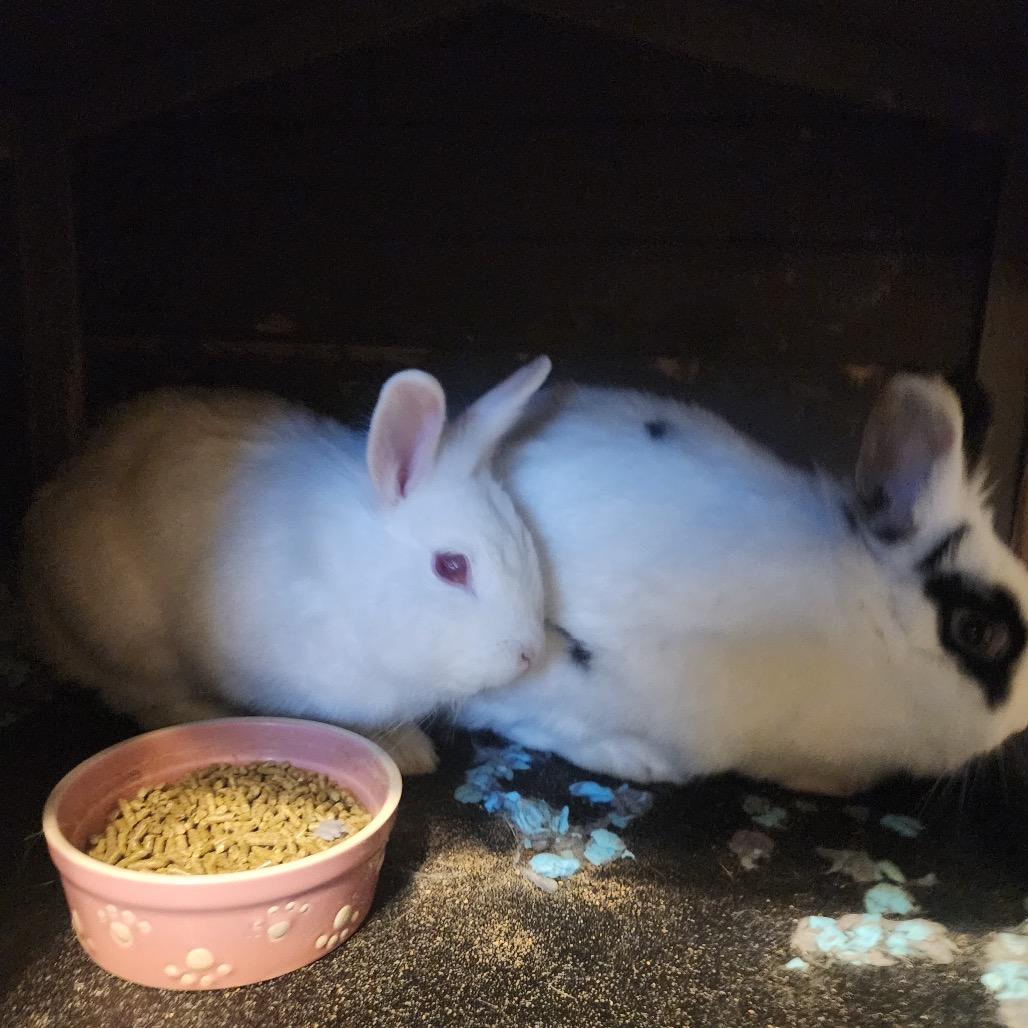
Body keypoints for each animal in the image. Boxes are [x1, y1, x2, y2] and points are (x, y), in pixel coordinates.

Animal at [21, 357, 552, 775]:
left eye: (525, 541)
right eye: (451, 567)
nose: (527, 653)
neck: (345, 575)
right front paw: (410, 755)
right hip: (131, 640)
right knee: (140, 696)